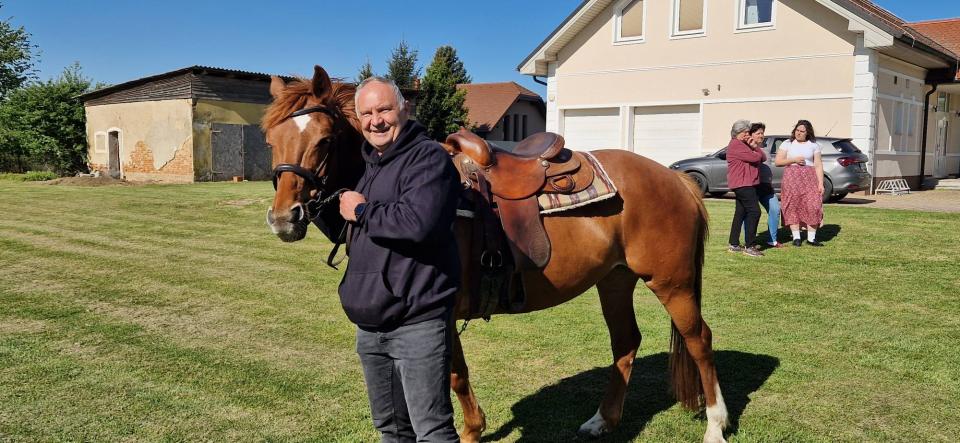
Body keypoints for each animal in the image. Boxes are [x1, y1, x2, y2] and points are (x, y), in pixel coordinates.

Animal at [263, 66, 728, 443]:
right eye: (270, 140)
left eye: (324, 140)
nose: (284, 217)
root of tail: (674, 178)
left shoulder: (439, 312)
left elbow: (454, 375)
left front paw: (472, 430)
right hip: (614, 280)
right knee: (626, 342)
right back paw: (602, 421)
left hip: (672, 283)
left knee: (700, 340)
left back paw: (715, 426)